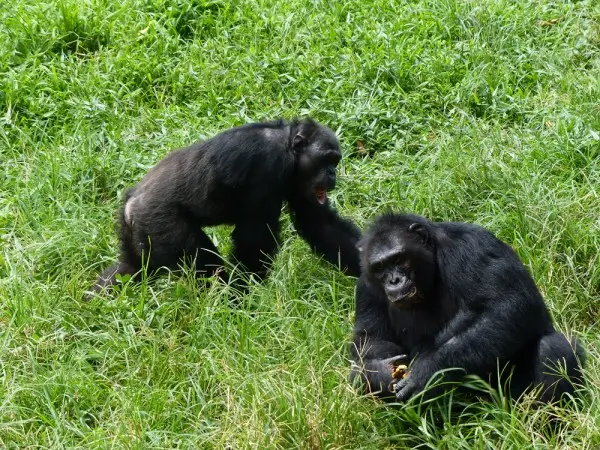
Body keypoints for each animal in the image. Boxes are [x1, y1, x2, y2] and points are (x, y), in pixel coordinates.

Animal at [89, 118, 360, 298]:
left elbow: (319, 224)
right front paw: (247, 293)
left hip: (137, 233)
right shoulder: (267, 164)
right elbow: (255, 236)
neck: (289, 147)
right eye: (326, 159)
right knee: (206, 265)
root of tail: (131, 204)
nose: (332, 173)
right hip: (160, 223)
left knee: (131, 268)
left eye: (335, 160)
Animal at [352, 214, 584, 404]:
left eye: (399, 259)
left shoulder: (472, 246)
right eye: (380, 268)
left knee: (553, 347)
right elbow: (369, 339)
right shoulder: (365, 287)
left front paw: (429, 371)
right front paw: (381, 373)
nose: (394, 280)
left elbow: (508, 306)